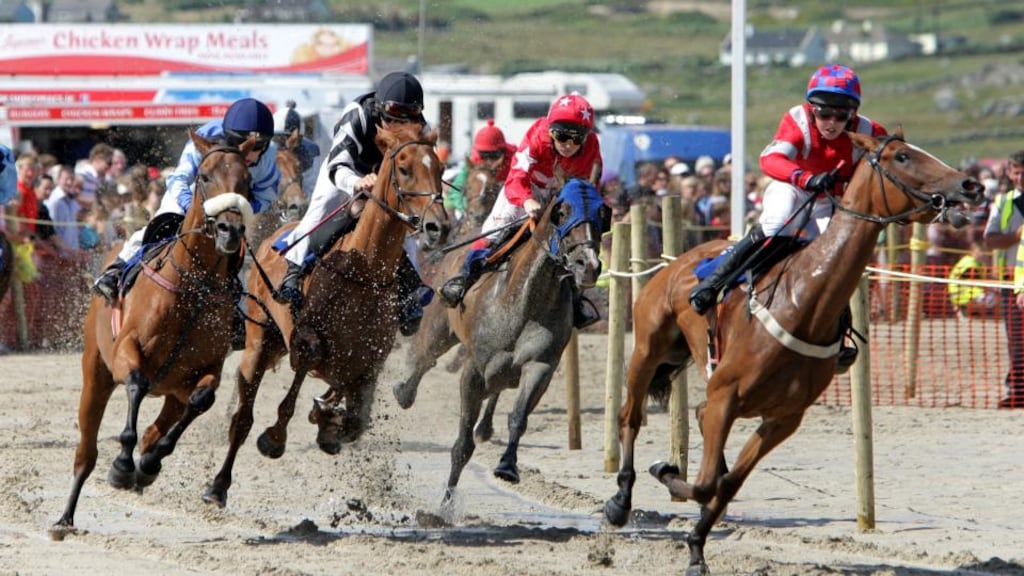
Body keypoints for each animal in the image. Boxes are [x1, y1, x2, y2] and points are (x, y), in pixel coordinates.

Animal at [50, 133, 257, 538]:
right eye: (204, 176)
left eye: (246, 182)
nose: (230, 231)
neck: (193, 288)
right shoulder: (126, 352)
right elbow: (136, 383)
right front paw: (123, 464)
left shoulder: (206, 369)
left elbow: (202, 400)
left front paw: (149, 462)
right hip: (95, 374)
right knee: (86, 451)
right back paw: (65, 517)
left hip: (171, 392)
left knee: (164, 419)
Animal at [201, 122, 449, 508]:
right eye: (404, 168)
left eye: (439, 168)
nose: (438, 226)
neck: (363, 271)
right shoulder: (305, 341)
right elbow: (302, 373)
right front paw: (275, 436)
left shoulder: (370, 363)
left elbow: (355, 420)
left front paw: (328, 423)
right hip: (261, 339)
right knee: (243, 416)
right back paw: (218, 485)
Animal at [392, 178, 607, 506]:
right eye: (562, 212)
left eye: (601, 214)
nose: (589, 265)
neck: (526, 301)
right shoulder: (473, 370)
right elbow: (462, 444)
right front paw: (445, 505)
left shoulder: (540, 365)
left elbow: (519, 416)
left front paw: (507, 466)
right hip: (439, 326)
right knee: (423, 357)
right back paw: (404, 390)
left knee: (497, 387)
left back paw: (486, 427)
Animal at [602, 129, 982, 575]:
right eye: (902, 156)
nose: (970, 185)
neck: (805, 302)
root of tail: (679, 261)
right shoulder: (726, 395)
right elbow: (705, 481)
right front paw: (665, 471)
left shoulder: (783, 417)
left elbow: (725, 483)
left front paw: (696, 545)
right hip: (649, 348)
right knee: (630, 416)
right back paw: (619, 501)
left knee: (697, 419)